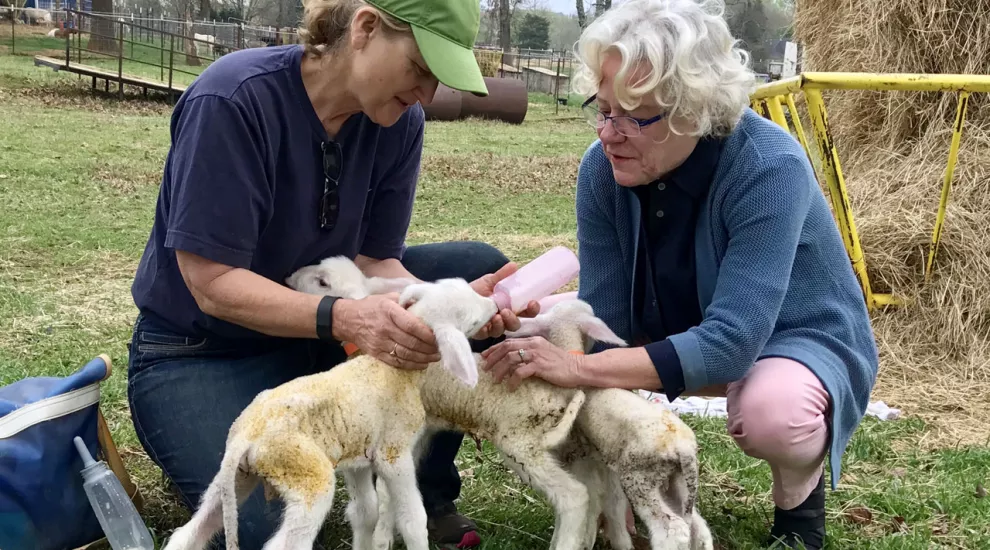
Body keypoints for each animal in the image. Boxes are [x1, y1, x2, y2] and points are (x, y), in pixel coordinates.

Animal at [166, 280, 500, 550]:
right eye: (473, 320)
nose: (495, 305)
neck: (394, 370)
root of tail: (247, 437)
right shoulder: (393, 454)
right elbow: (412, 520)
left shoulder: (358, 454)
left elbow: (365, 512)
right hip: (306, 476)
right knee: (283, 544)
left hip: (234, 477)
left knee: (190, 532)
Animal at [286, 256, 612, 550]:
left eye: (322, 282)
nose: (290, 277)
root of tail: (562, 388)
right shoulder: (415, 434)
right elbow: (390, 496)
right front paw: (386, 535)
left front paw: (379, 540)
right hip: (560, 445)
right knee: (590, 493)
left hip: (521, 443)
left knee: (574, 496)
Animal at [512, 302, 712, 550]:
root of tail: (682, 448)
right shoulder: (607, 462)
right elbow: (613, 503)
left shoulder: (588, 456)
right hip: (680, 481)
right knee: (698, 527)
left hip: (640, 478)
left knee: (672, 531)